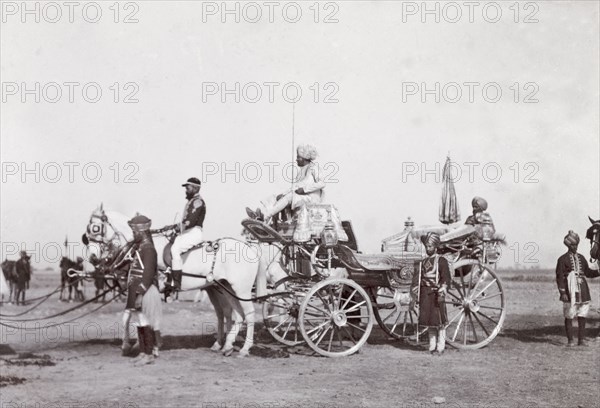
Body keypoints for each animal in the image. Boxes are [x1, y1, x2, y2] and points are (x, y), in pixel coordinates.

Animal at [84, 206, 260, 356]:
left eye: (95, 227)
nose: (92, 258)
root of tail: (250, 249)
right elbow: (129, 316)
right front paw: (130, 344)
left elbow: (137, 316)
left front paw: (136, 345)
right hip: (225, 288)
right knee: (234, 314)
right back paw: (226, 345)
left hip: (242, 291)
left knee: (249, 314)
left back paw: (245, 348)